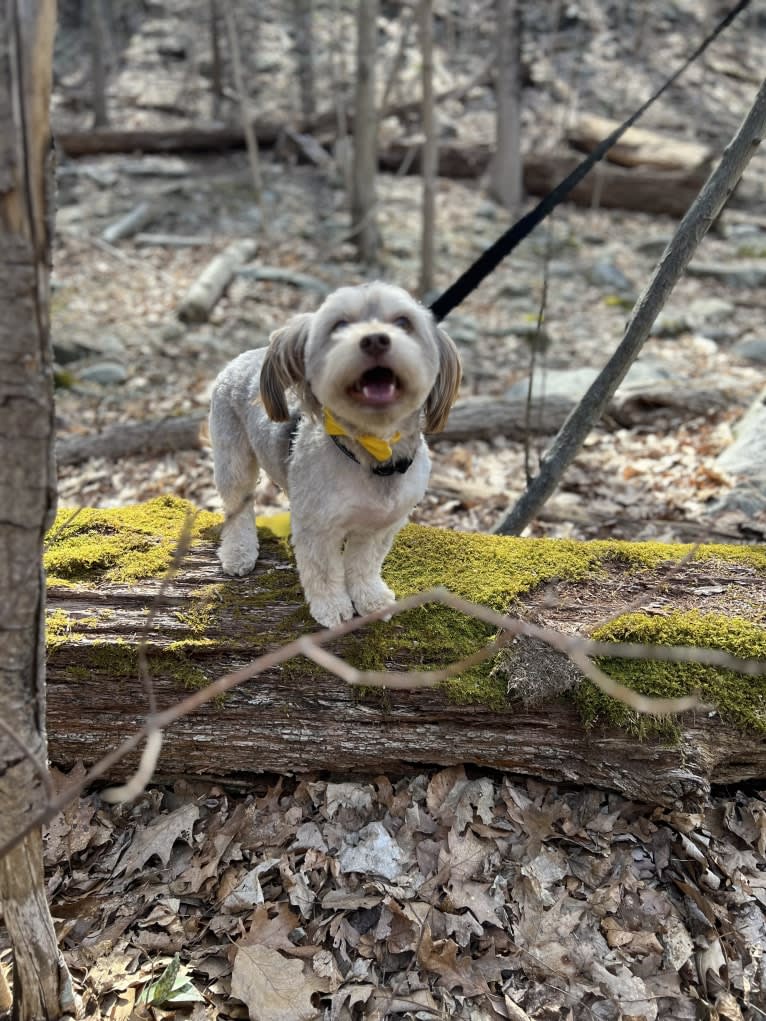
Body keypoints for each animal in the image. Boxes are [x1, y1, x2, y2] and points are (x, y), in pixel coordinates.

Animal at [208, 281, 461, 628]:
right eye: (339, 325)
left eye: (403, 322)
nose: (375, 340)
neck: (373, 451)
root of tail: (242, 358)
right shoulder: (317, 528)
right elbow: (324, 570)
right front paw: (332, 608)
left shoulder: (382, 526)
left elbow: (364, 563)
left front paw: (371, 598)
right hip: (233, 458)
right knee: (238, 507)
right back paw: (238, 552)